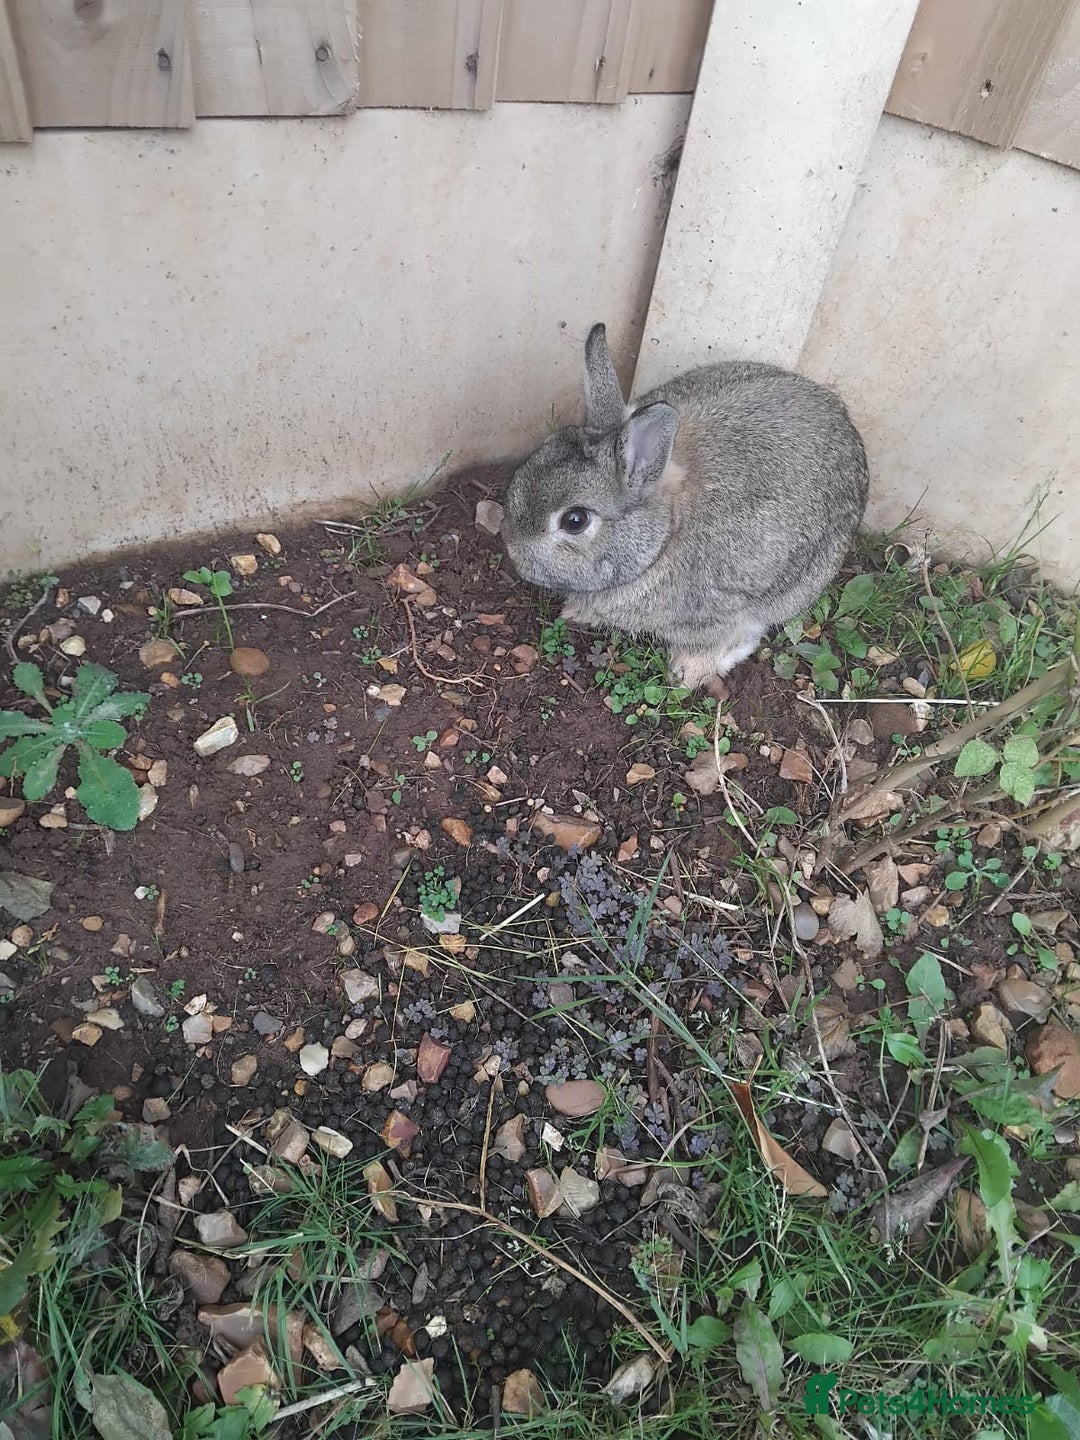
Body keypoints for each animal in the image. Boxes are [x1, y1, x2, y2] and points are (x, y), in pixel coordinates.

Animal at [500, 324, 869, 687]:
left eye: (574, 520)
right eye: (542, 450)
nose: (513, 550)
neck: (664, 536)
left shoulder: (728, 607)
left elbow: (730, 639)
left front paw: (689, 672)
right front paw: (577, 612)